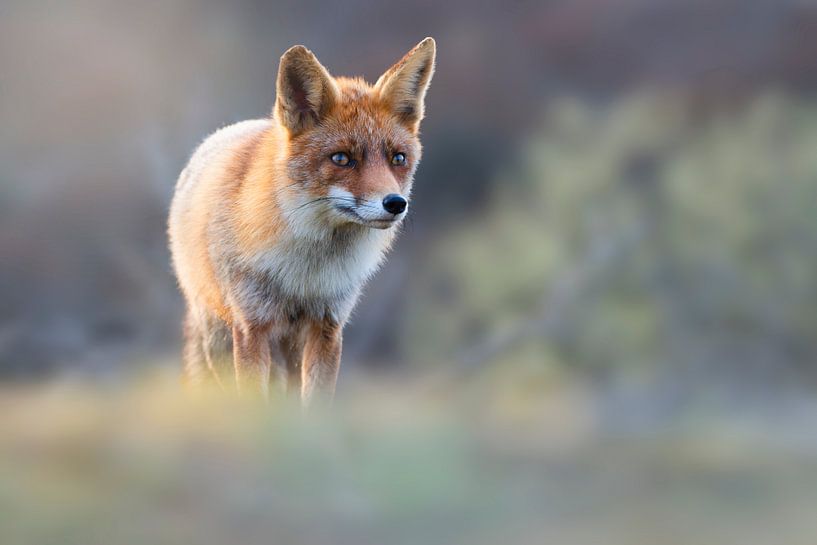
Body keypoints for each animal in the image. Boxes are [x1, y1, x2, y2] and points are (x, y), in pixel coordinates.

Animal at [166, 38, 434, 404]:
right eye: (341, 159)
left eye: (398, 158)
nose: (395, 203)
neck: (304, 273)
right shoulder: (252, 327)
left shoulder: (327, 326)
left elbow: (315, 404)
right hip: (218, 336)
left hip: (288, 347)